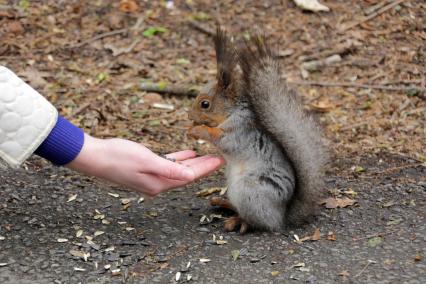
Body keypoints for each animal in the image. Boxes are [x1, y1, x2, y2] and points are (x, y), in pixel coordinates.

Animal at [188, 28, 328, 233]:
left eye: (205, 104)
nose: (189, 116)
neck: (232, 112)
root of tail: (282, 216)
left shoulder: (239, 131)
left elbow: (221, 139)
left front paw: (196, 130)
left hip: (250, 191)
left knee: (259, 222)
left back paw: (238, 221)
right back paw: (223, 203)